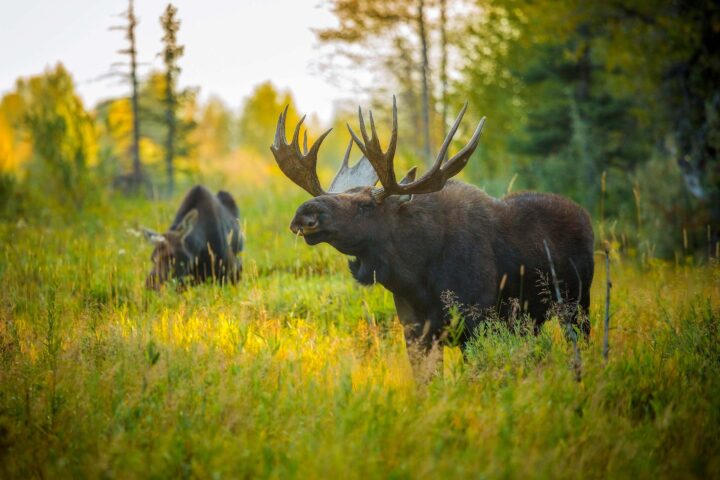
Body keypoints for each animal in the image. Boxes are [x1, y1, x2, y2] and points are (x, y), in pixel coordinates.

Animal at [272, 98, 592, 348]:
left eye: (366, 206)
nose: (304, 214)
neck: (415, 275)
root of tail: (585, 216)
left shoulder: (476, 321)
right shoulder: (415, 331)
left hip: (578, 303)